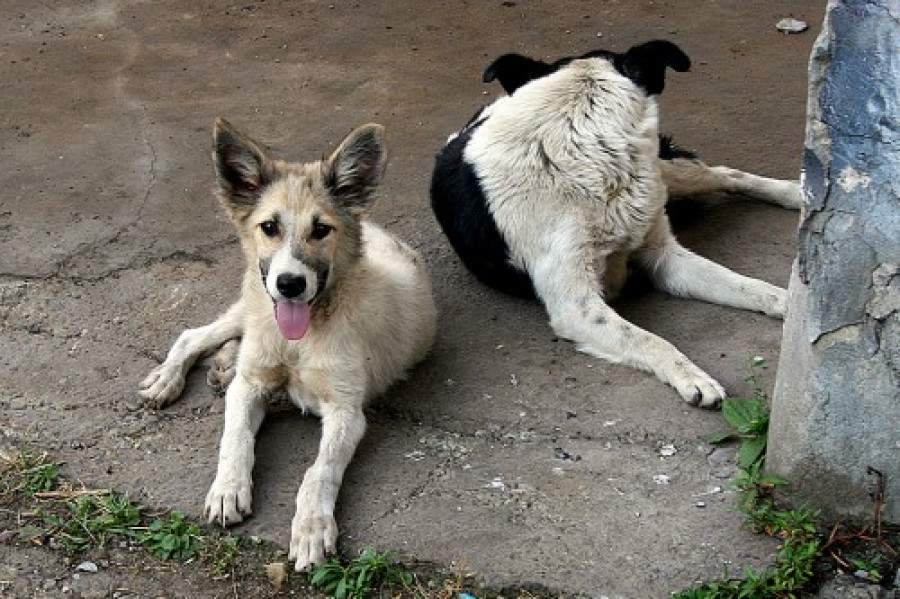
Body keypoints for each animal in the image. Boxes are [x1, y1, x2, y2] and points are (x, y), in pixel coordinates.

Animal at [432, 41, 800, 408]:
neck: (580, 157)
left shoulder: (664, 255)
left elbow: (749, 285)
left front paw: (791, 303)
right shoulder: (577, 307)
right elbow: (649, 339)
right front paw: (691, 376)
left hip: (662, 173)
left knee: (725, 174)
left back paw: (795, 193)